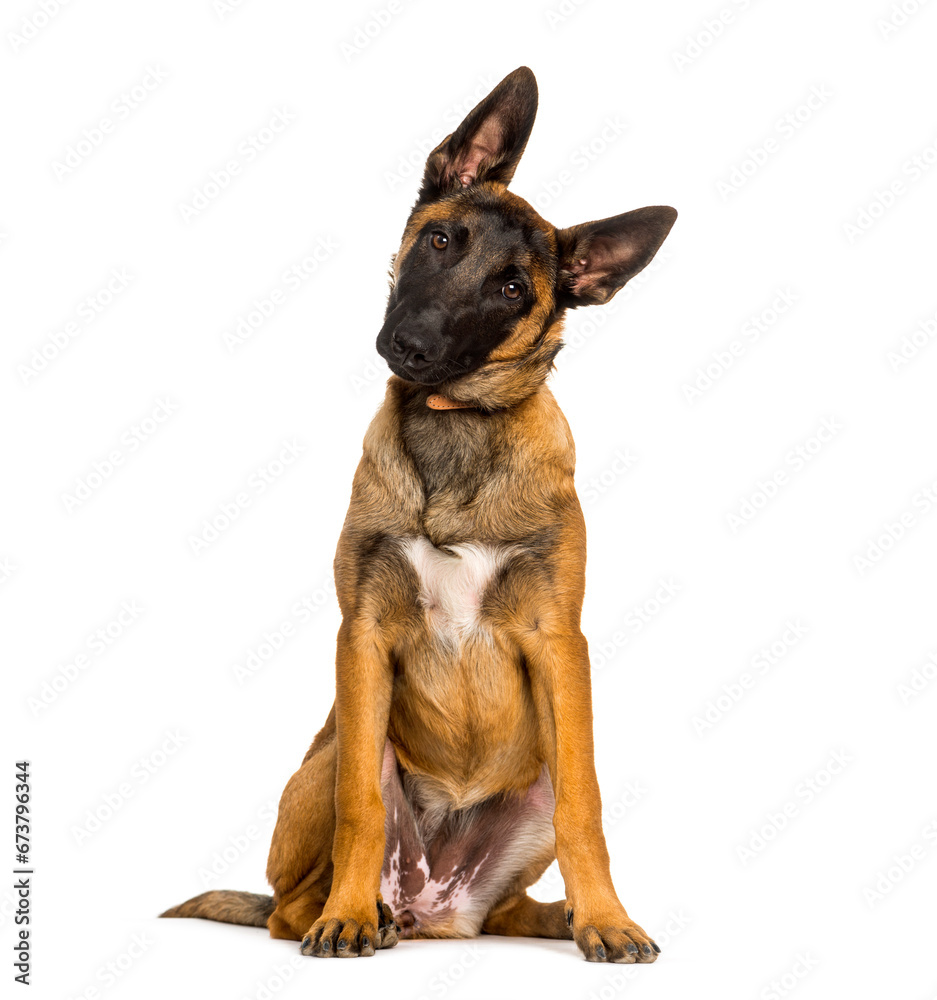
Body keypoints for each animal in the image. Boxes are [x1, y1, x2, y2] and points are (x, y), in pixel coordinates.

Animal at [161, 64, 672, 960]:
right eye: (442, 241)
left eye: (512, 288)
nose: (412, 346)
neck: (456, 428)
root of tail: (436, 908)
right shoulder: (361, 636)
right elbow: (362, 810)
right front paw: (346, 916)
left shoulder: (558, 644)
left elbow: (587, 807)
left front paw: (606, 919)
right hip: (331, 753)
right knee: (292, 899)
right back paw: (362, 911)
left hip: (531, 787)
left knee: (507, 905)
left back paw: (555, 915)